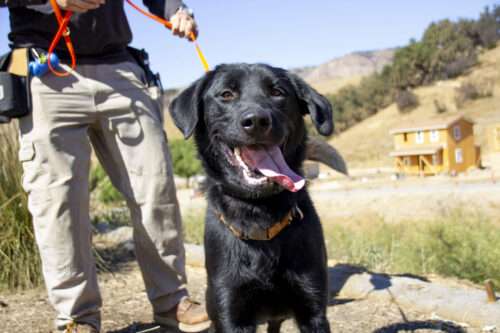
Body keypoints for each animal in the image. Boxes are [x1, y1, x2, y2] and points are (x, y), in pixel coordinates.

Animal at [170, 63, 334, 330]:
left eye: (277, 92)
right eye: (226, 94)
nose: (256, 121)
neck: (259, 213)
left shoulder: (313, 309)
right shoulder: (231, 313)